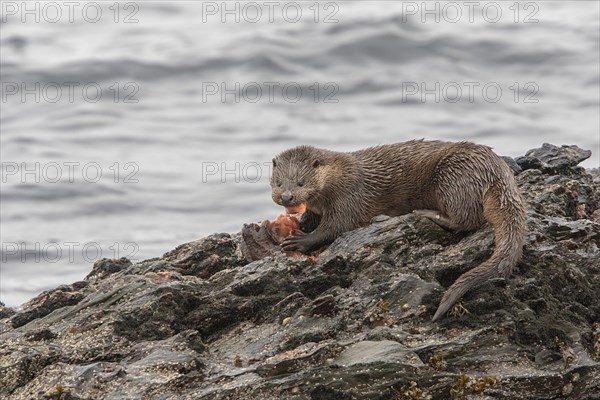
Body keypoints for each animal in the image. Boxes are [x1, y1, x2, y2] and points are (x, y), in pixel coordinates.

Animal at [270, 141, 524, 322]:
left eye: (301, 182)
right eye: (279, 182)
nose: (287, 197)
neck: (337, 177)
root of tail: (498, 173)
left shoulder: (349, 196)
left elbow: (336, 226)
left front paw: (301, 241)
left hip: (453, 177)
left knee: (466, 219)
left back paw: (427, 213)